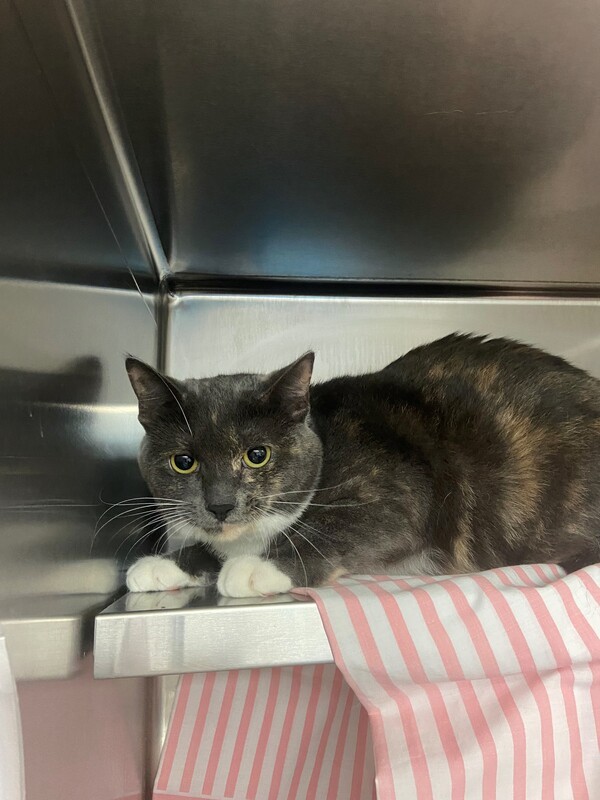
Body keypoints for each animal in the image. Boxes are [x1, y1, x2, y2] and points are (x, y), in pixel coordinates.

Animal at [124, 334, 600, 598]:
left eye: (256, 454)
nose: (220, 504)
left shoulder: (404, 496)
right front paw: (166, 564)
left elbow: (334, 529)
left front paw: (259, 567)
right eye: (183, 462)